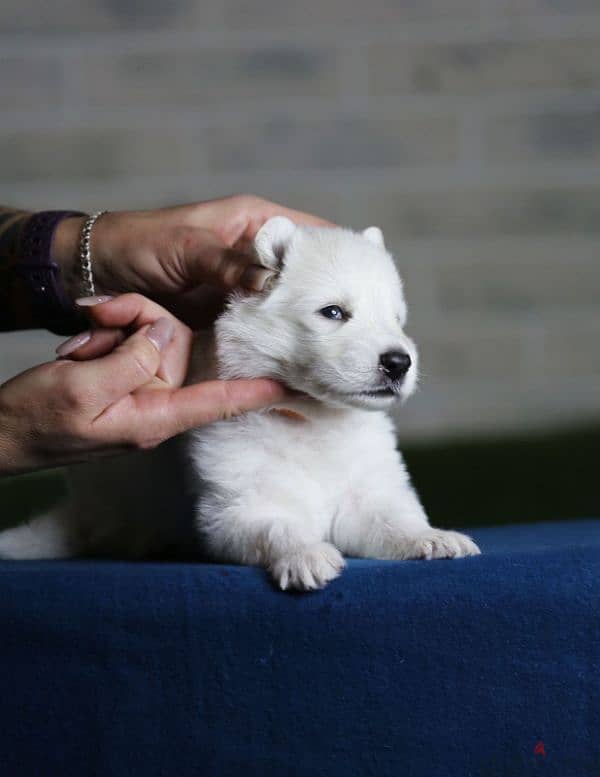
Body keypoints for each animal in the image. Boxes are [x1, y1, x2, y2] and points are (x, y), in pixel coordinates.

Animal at [0, 218, 478, 588]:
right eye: (333, 312)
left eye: (397, 320)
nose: (399, 362)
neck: (312, 420)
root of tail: (78, 512)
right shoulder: (235, 509)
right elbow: (276, 526)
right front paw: (306, 556)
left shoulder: (368, 492)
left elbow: (392, 518)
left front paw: (432, 537)